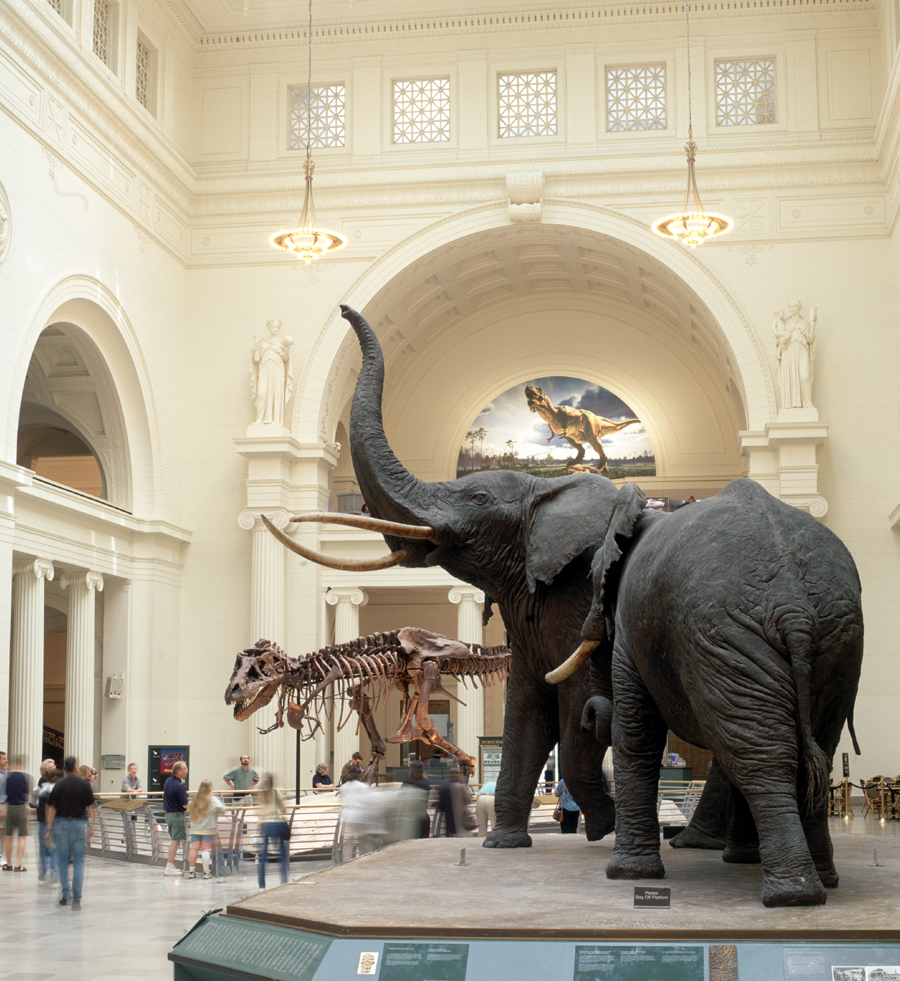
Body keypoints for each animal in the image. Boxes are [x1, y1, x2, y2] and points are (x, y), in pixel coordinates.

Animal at [548, 478, 864, 908]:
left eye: (593, 581)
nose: (590, 716)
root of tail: (794, 610)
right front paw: (742, 859)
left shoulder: (633, 629)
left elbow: (637, 735)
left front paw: (626, 875)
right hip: (834, 641)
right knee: (809, 750)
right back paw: (821, 881)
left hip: (725, 631)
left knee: (761, 756)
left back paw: (792, 895)